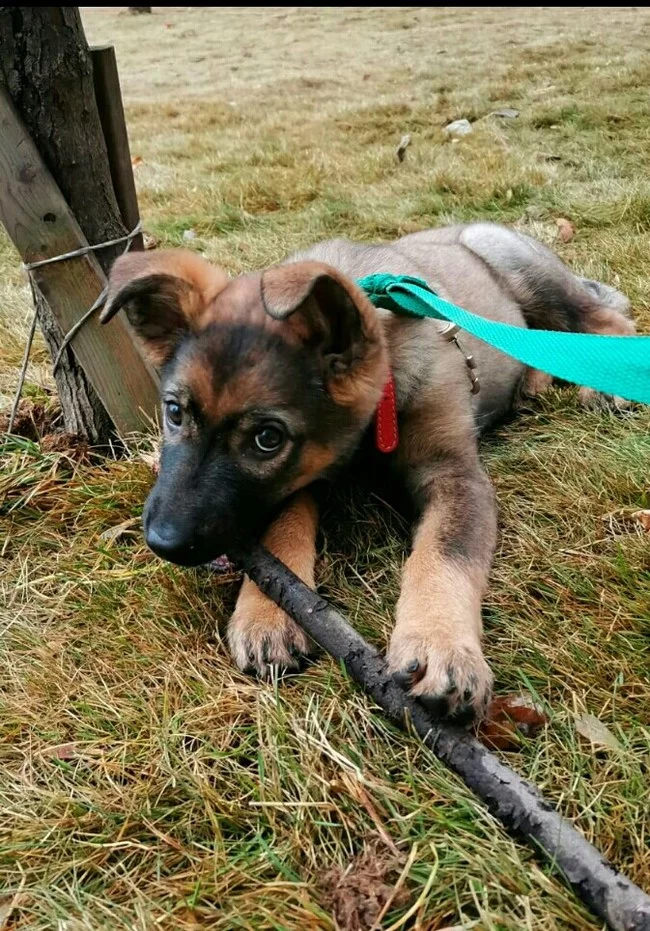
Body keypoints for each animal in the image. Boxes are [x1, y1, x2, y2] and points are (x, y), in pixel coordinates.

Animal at [102, 222, 632, 724]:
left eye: (267, 438)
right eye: (174, 412)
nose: (163, 542)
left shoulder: (454, 474)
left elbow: (443, 553)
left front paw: (439, 643)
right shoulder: (309, 472)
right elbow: (282, 526)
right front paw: (266, 612)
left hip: (515, 263)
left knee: (596, 319)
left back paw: (608, 381)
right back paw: (532, 383)